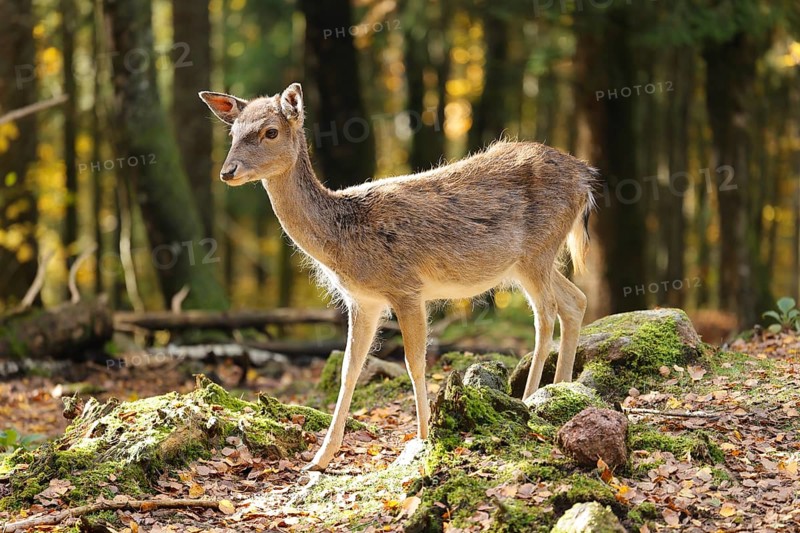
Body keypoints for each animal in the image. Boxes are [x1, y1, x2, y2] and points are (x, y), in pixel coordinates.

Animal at [199, 83, 597, 471]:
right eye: (233, 132)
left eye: (270, 131)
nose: (228, 171)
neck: (343, 238)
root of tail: (586, 178)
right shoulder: (363, 300)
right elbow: (349, 368)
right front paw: (319, 459)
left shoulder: (406, 287)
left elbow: (414, 363)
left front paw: (422, 440)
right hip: (528, 262)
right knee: (575, 300)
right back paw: (561, 390)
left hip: (536, 252)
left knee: (546, 314)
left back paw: (530, 399)